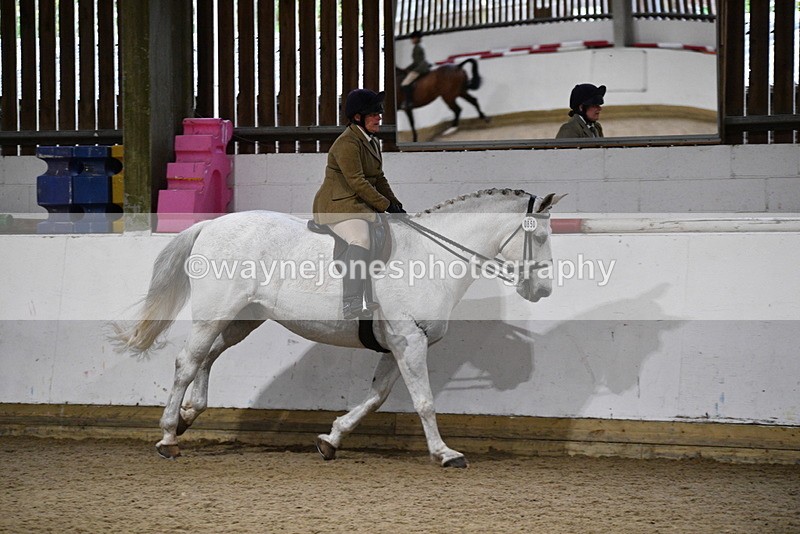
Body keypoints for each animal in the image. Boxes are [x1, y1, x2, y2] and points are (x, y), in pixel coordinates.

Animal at [112, 189, 563, 468]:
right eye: (540, 236)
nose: (543, 290)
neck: (432, 256)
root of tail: (209, 225)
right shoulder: (409, 341)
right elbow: (424, 402)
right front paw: (445, 453)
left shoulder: (396, 345)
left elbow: (376, 397)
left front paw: (331, 439)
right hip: (215, 312)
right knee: (187, 362)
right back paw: (169, 437)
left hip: (242, 318)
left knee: (207, 356)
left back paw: (188, 416)